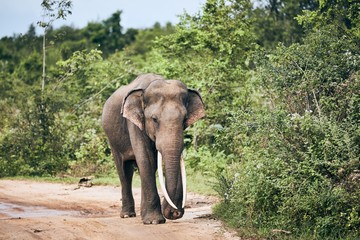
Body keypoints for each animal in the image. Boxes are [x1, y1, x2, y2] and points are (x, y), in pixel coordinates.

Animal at [101, 73, 205, 225]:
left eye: (184, 119)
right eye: (154, 119)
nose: (175, 213)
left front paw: (154, 218)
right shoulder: (134, 123)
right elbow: (146, 159)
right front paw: (154, 221)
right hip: (112, 139)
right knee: (124, 170)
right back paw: (127, 215)